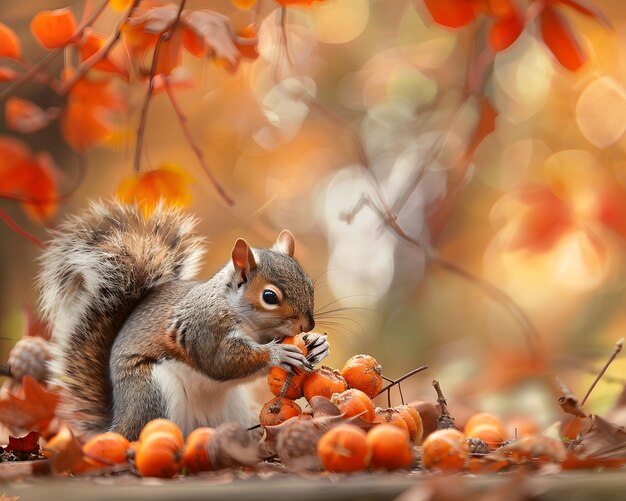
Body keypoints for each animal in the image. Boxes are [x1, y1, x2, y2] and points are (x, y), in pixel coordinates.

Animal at [36, 198, 326, 438]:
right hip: (154, 392)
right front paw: (278, 354)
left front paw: (318, 344)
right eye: (269, 296)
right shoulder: (203, 328)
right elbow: (220, 361)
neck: (251, 324)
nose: (308, 324)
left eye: (309, 285)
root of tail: (118, 424)